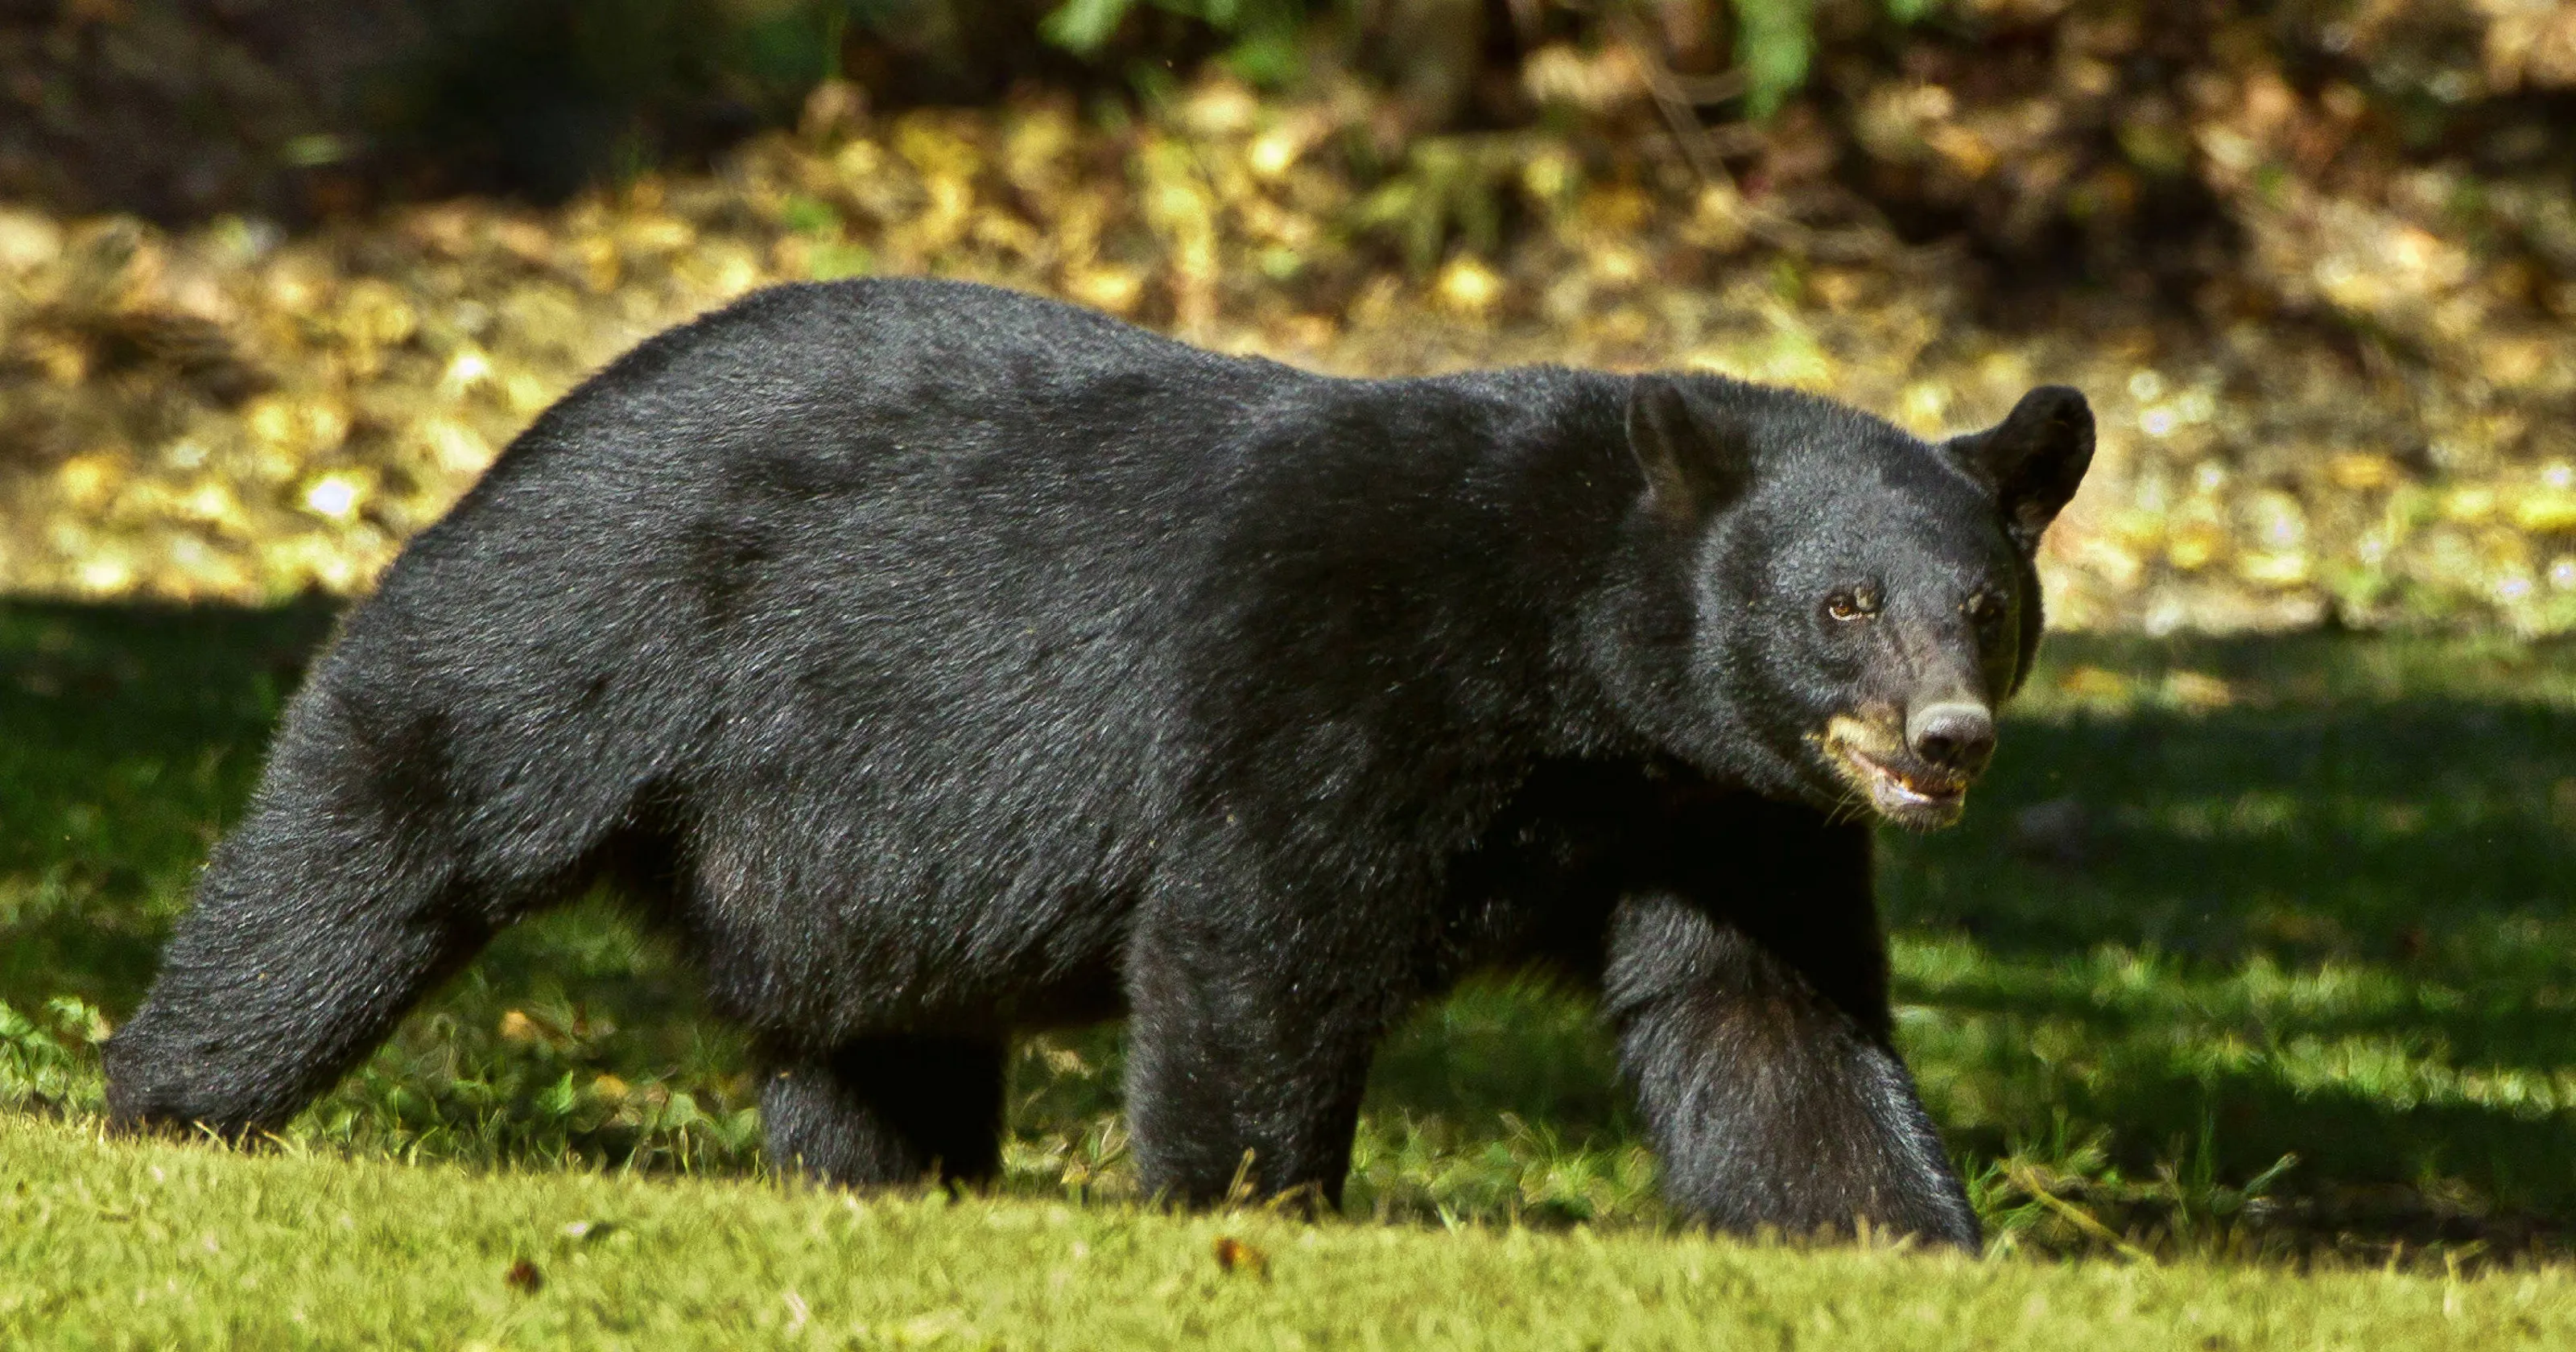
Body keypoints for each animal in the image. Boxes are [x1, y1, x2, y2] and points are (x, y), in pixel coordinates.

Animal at [105, 277, 2091, 1246]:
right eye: (1842, 602)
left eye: (1986, 606)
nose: (1946, 739)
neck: (1572, 671)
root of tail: (543, 415)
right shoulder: (1337, 673)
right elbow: (1259, 940)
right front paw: (1246, 1222)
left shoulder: (1719, 809)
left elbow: (1768, 1027)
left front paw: (1905, 1243)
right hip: (582, 623)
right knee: (379, 832)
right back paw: (166, 1106)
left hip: (841, 851)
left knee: (872, 1035)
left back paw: (887, 1191)